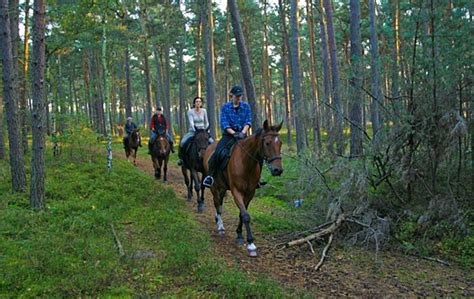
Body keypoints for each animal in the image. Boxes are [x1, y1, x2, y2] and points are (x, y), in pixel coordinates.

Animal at [202, 120, 284, 256]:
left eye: (280, 143)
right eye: (267, 143)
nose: (278, 170)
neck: (246, 163)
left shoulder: (250, 193)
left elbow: (242, 214)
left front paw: (240, 235)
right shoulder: (237, 191)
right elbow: (245, 215)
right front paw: (251, 244)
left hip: (223, 187)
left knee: (220, 202)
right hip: (214, 186)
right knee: (217, 203)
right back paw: (220, 226)